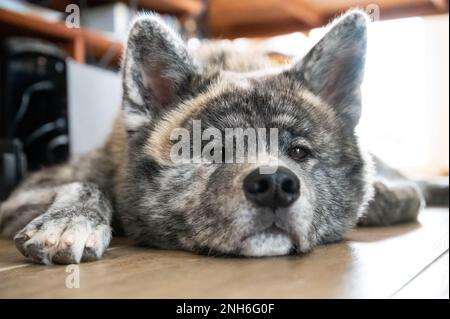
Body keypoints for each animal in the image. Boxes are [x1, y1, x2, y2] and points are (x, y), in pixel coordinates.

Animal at [0, 10, 446, 264]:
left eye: (299, 151)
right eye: (212, 149)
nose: (275, 184)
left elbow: (393, 196)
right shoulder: (25, 193)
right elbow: (86, 185)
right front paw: (70, 220)